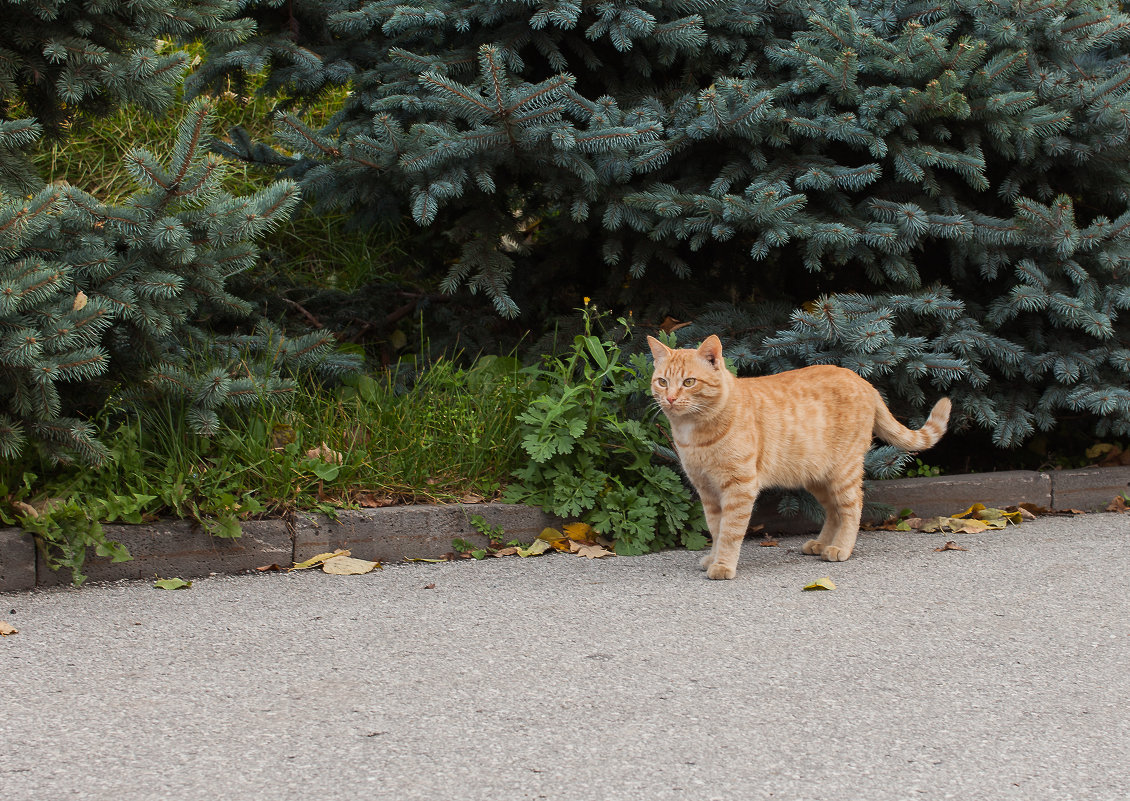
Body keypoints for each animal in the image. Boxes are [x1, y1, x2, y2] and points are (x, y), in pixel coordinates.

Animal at [646, 334, 953, 578]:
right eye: (662, 381)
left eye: (689, 382)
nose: (670, 398)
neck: (694, 434)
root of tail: (862, 380)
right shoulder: (707, 491)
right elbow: (716, 528)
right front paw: (713, 558)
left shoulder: (738, 487)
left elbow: (730, 531)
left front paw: (722, 565)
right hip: (818, 478)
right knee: (833, 511)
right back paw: (821, 544)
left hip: (843, 473)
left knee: (852, 508)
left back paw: (840, 547)